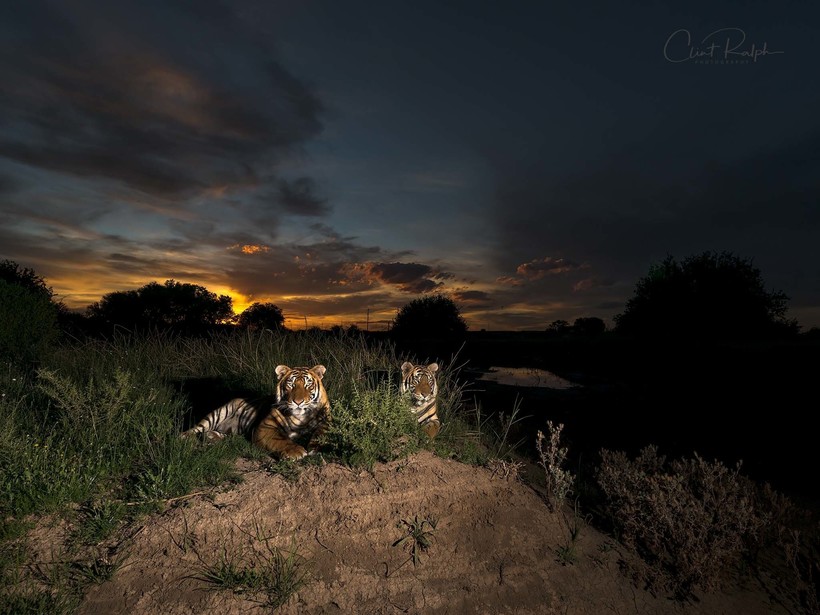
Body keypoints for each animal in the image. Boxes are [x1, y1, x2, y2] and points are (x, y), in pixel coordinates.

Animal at [183, 364, 330, 460]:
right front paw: (296, 451)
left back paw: (213, 436)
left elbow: (321, 434)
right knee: (196, 428)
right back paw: (184, 438)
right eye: (291, 384)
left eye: (308, 385)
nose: (298, 402)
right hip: (217, 413)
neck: (300, 418)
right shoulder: (266, 427)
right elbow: (280, 440)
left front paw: (317, 448)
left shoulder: (326, 423)